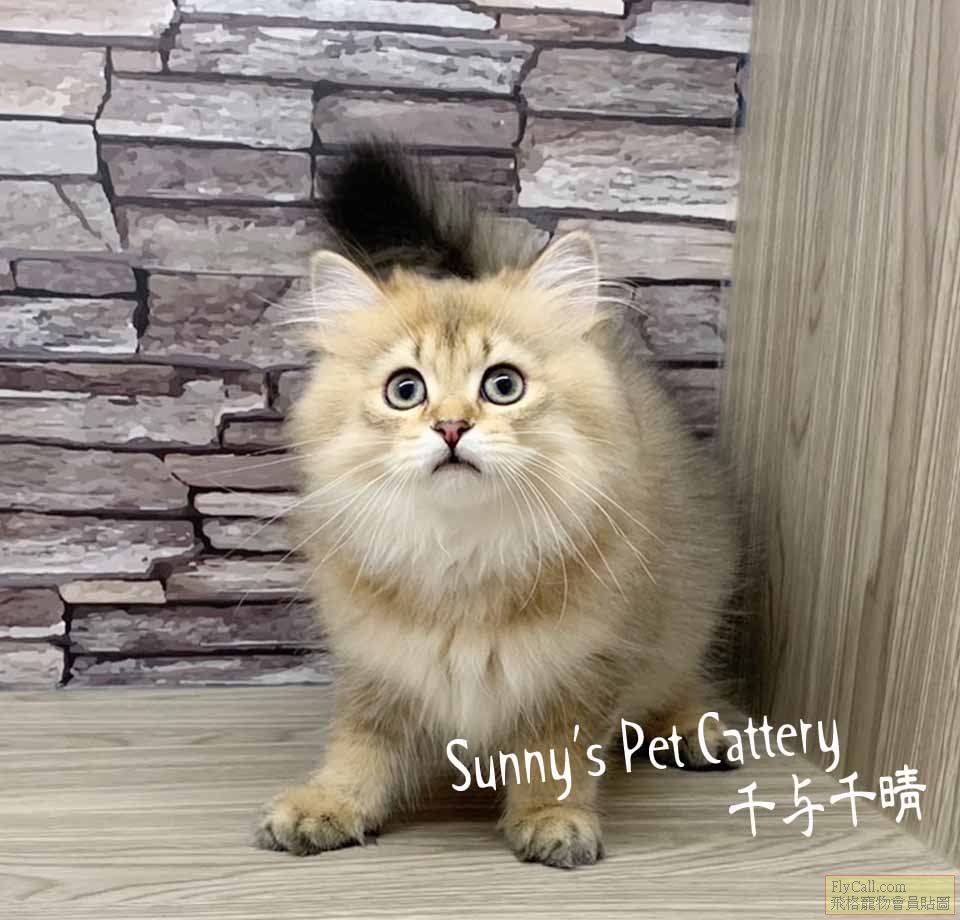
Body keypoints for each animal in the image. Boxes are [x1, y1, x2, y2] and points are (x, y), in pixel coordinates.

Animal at [255, 142, 739, 868]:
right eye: (405, 390)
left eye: (503, 385)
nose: (451, 427)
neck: (464, 553)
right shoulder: (377, 662)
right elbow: (362, 742)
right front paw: (331, 803)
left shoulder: (581, 666)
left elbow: (554, 753)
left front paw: (551, 817)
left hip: (682, 610)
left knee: (679, 678)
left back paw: (693, 731)